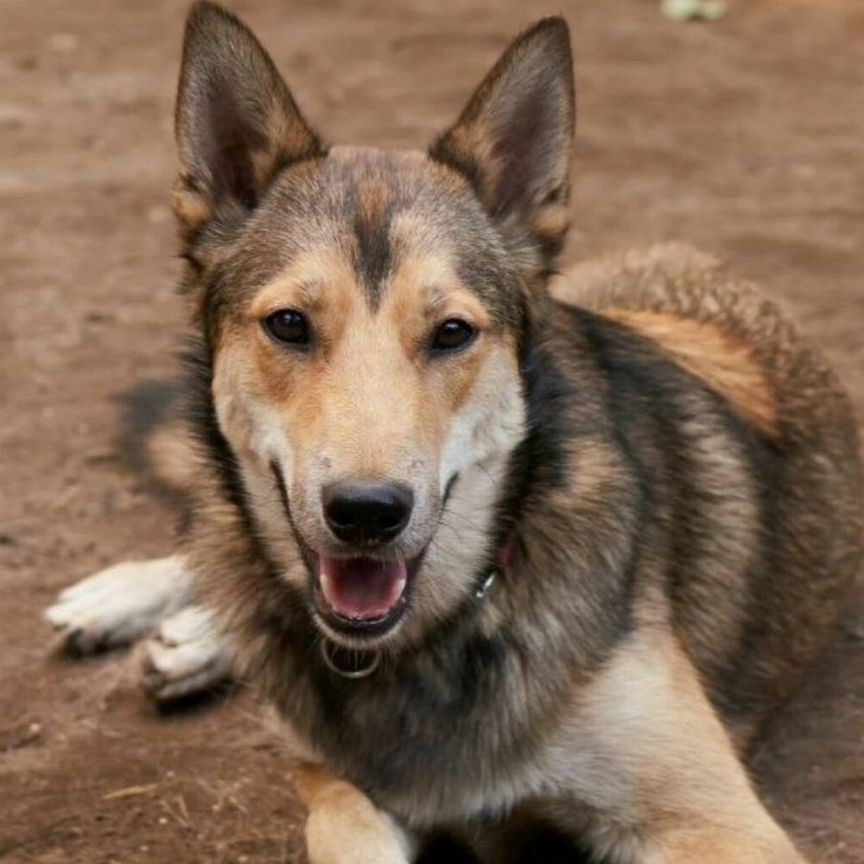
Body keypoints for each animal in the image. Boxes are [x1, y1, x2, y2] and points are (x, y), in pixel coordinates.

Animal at [47, 3, 864, 860]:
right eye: (289, 324)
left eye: (451, 333)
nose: (367, 513)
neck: (451, 620)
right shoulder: (328, 778)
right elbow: (341, 826)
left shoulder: (716, 821)